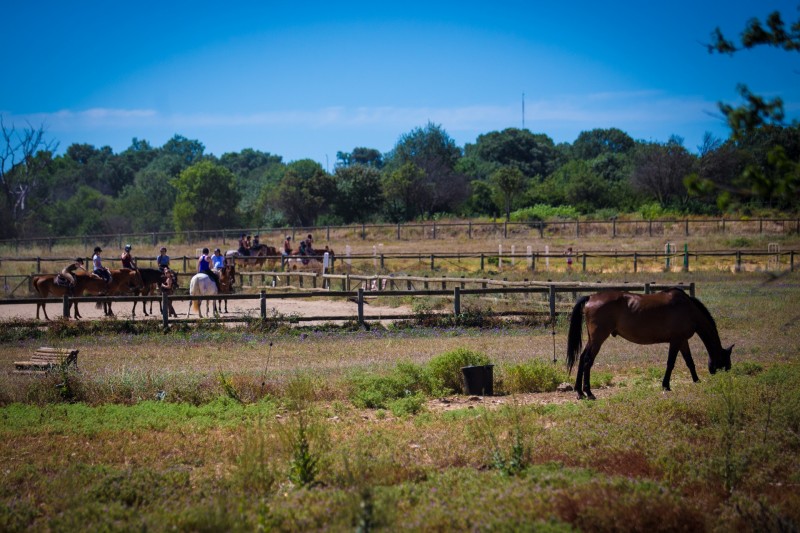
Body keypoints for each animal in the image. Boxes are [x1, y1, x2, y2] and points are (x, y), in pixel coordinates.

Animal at [568, 286, 732, 400]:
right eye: (726, 361)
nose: (726, 376)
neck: (688, 309)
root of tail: (591, 297)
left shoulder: (683, 341)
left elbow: (689, 362)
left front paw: (697, 381)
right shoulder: (676, 341)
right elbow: (670, 363)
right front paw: (666, 385)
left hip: (592, 339)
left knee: (582, 358)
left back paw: (580, 392)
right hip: (598, 339)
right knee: (588, 361)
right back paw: (589, 393)